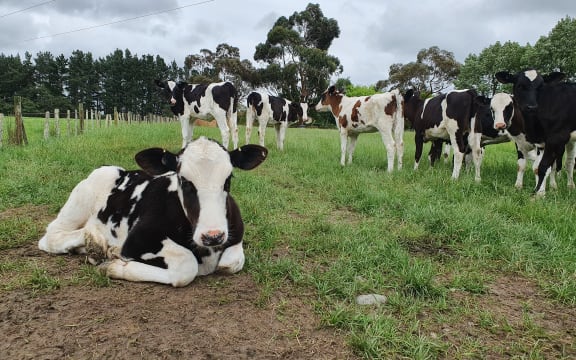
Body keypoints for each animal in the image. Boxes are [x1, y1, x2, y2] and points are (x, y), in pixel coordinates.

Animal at [38, 136, 268, 286]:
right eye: (184, 180)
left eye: (228, 179)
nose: (213, 236)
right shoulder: (138, 239)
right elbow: (186, 266)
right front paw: (114, 266)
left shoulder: (235, 237)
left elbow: (232, 263)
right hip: (81, 200)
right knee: (52, 235)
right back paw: (97, 242)